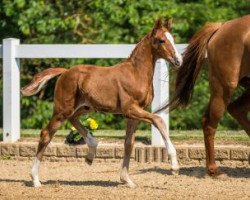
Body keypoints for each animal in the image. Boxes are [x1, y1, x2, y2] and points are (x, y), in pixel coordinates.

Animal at [21, 18, 182, 188]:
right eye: (161, 40)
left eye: (172, 39)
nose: (178, 60)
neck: (135, 74)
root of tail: (65, 72)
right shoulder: (130, 109)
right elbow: (158, 121)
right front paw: (174, 165)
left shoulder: (133, 115)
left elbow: (128, 144)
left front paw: (126, 180)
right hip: (62, 109)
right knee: (46, 133)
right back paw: (35, 179)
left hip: (84, 107)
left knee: (73, 119)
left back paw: (91, 153)